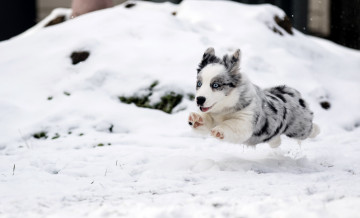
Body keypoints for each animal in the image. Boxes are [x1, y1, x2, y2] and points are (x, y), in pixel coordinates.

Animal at [187, 47, 320, 147]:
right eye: (199, 84)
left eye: (215, 85)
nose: (199, 100)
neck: (224, 108)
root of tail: (293, 92)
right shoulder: (212, 116)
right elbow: (205, 121)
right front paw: (196, 118)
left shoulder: (245, 121)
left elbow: (230, 124)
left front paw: (219, 130)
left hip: (300, 128)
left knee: (310, 128)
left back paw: (317, 130)